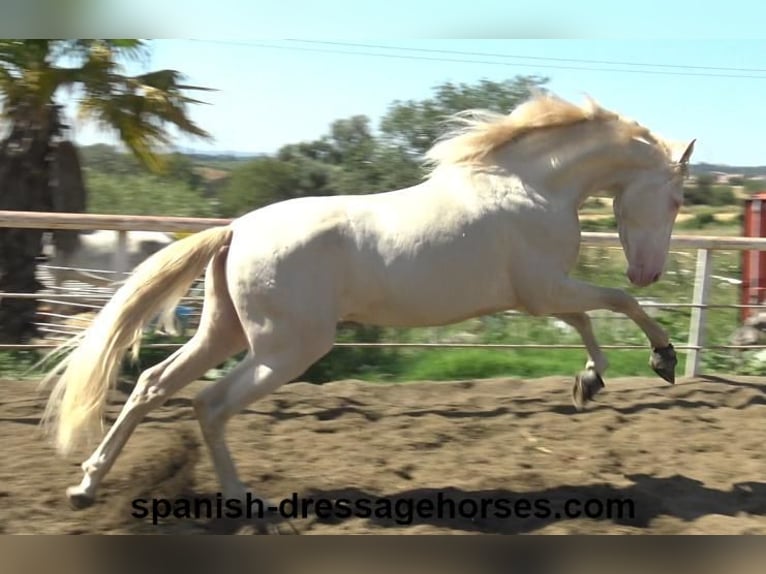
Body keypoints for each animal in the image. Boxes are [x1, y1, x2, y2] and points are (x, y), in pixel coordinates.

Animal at [39, 94, 700, 512]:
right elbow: (616, 304)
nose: (649, 270)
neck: (530, 187)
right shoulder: (545, 288)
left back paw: (87, 486)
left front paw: (590, 382)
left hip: (225, 333)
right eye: (674, 200)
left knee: (152, 384)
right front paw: (662, 360)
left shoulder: (540, 296)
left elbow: (591, 318)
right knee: (209, 404)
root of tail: (235, 230)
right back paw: (241, 500)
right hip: (288, 349)